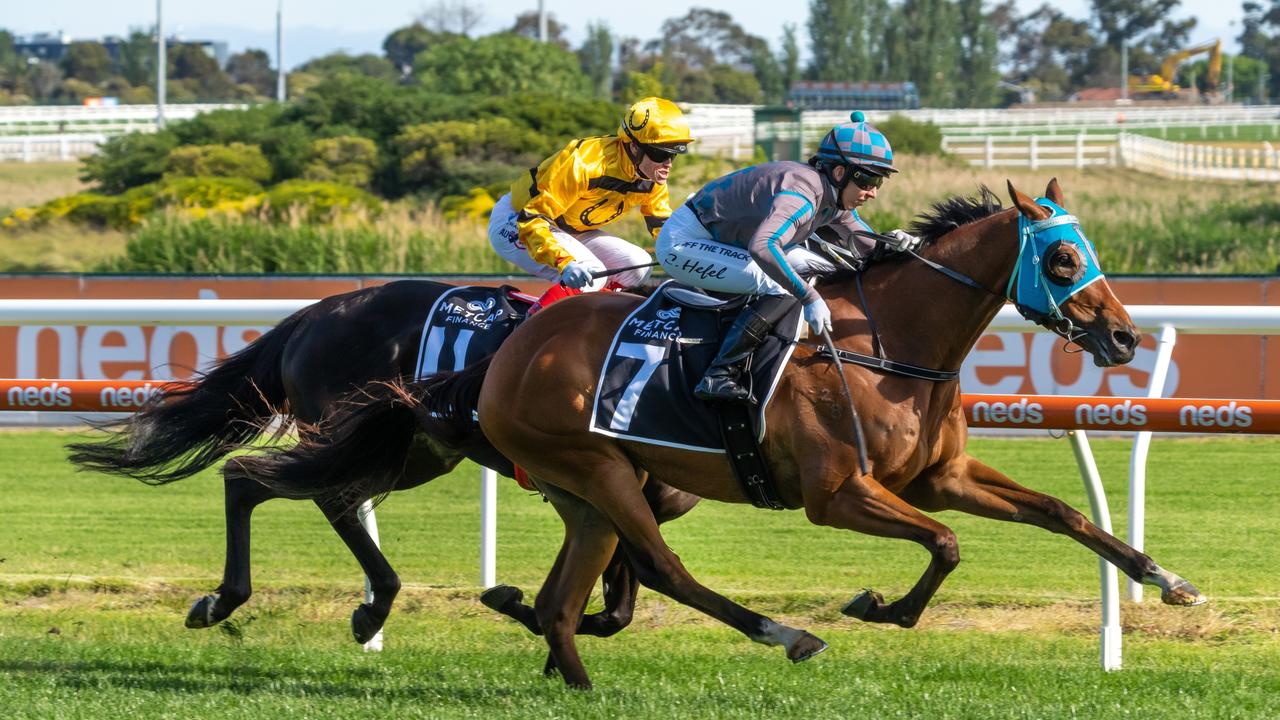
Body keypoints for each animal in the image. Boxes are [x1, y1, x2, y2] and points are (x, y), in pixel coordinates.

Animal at [64, 278, 696, 640]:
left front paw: (525, 608)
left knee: (291, 487)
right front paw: (517, 603)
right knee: (283, 484)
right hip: (355, 432)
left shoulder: (629, 498)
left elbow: (616, 609)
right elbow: (610, 601)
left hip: (407, 448)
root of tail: (317, 313)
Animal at [235, 178, 1203, 681]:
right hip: (580, 468)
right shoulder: (837, 493)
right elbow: (946, 545)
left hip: (558, 479)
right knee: (657, 566)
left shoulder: (938, 476)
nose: (1125, 337)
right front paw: (878, 606)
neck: (889, 343)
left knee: (564, 588)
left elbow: (1062, 514)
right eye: (1064, 257)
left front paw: (1168, 580)